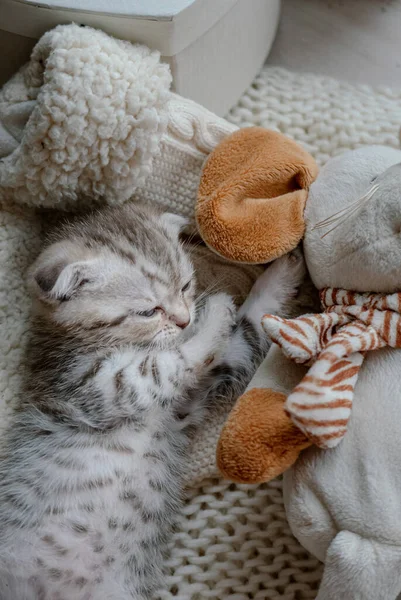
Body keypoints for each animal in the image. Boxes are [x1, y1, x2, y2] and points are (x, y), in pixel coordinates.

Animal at [0, 204, 304, 596]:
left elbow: (244, 328)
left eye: (186, 286)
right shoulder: (93, 384)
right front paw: (218, 309)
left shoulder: (189, 395)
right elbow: (163, 365)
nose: (186, 318)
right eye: (148, 311)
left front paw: (281, 271)